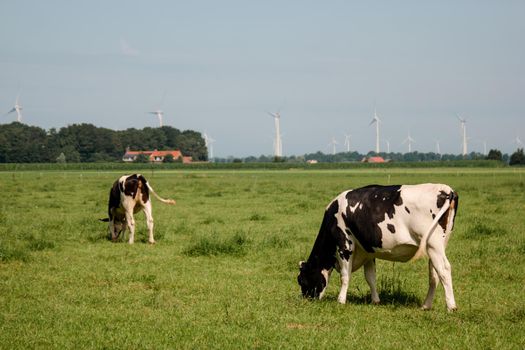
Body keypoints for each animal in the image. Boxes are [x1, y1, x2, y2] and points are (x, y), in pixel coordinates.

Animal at [298, 185, 458, 310]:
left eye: (302, 280)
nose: (306, 300)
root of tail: (447, 190)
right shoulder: (368, 251)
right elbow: (370, 277)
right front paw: (375, 300)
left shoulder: (345, 246)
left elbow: (345, 276)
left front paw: (341, 300)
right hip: (436, 247)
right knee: (434, 274)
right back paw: (426, 305)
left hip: (433, 244)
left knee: (444, 270)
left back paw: (451, 306)